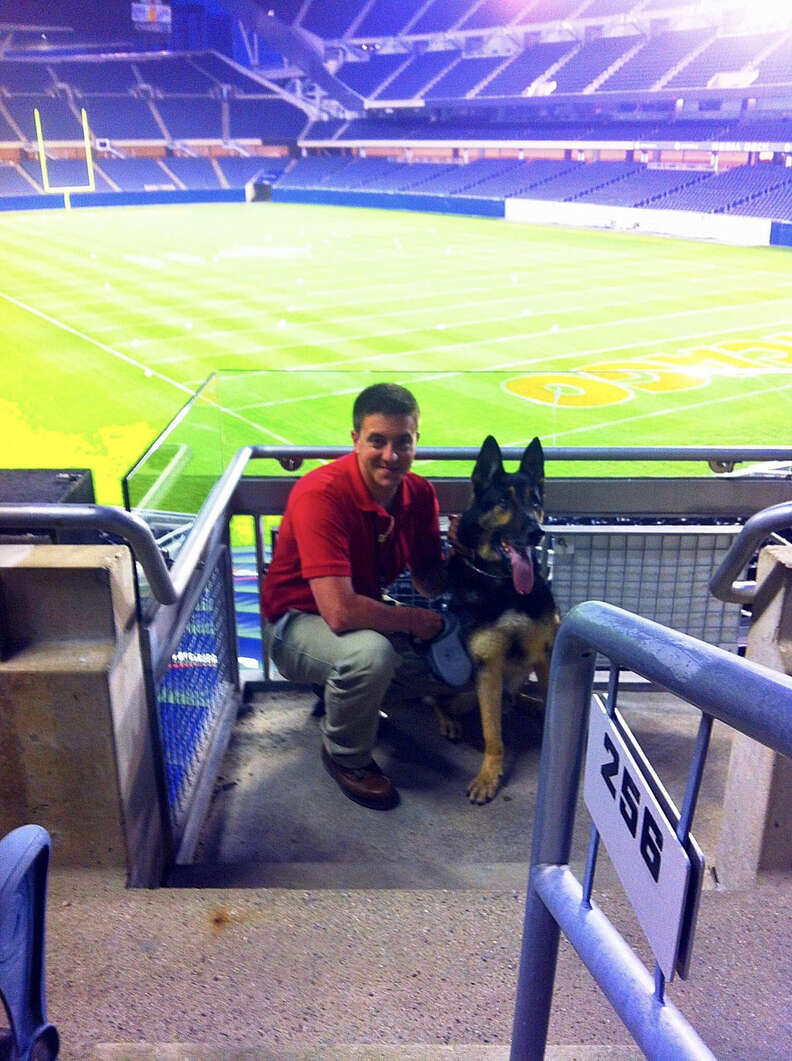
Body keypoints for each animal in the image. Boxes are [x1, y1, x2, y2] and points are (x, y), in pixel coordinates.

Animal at [437, 435, 556, 797]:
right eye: (504, 501)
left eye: (535, 502)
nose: (537, 532)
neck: (505, 585)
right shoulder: (487, 666)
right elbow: (493, 733)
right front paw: (489, 776)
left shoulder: (547, 654)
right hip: (463, 688)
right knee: (434, 698)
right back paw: (448, 721)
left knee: (516, 696)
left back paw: (528, 702)